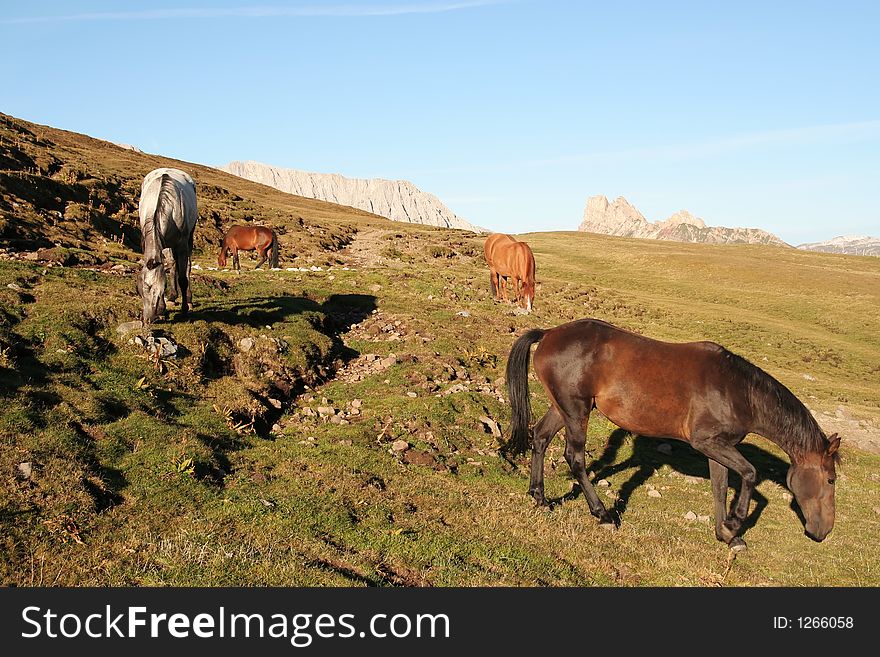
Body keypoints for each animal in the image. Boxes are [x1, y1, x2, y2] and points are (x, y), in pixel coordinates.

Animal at [136, 167, 198, 322]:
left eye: (159, 289)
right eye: (140, 290)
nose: (148, 320)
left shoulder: (181, 245)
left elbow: (183, 279)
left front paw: (184, 310)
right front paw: (163, 310)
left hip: (188, 239)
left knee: (187, 266)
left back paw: (188, 300)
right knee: (173, 264)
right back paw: (172, 297)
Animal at [502, 318, 840, 548]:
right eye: (831, 479)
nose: (824, 531)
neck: (739, 391)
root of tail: (549, 334)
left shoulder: (717, 447)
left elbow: (720, 487)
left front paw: (726, 535)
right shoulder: (707, 442)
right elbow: (749, 474)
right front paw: (733, 524)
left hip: (563, 409)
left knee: (540, 438)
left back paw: (540, 497)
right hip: (576, 411)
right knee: (575, 458)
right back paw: (602, 514)